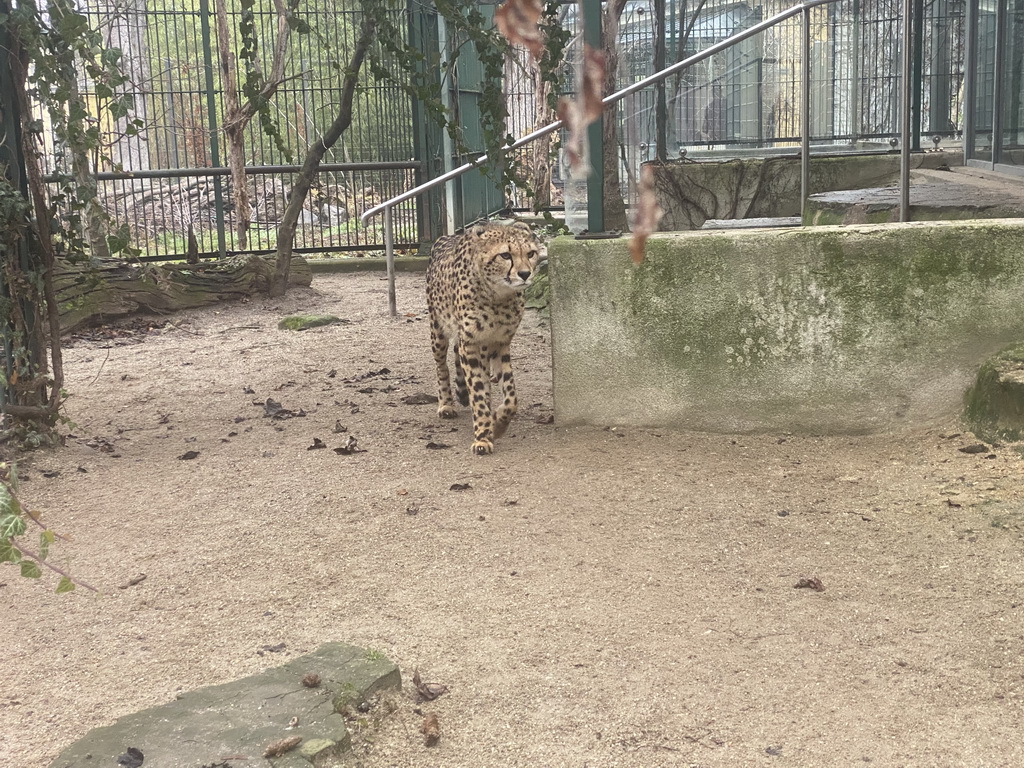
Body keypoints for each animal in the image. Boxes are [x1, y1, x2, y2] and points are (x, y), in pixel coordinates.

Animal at [425, 219, 548, 454]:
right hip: (438, 329)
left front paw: (498, 423)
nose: (525, 274)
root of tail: (445, 237)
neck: (497, 296)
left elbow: (511, 397)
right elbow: (478, 391)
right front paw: (483, 435)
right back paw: (446, 403)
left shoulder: (501, 341)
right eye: (505, 255)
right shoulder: (471, 342)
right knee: (442, 365)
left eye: (530, 253)